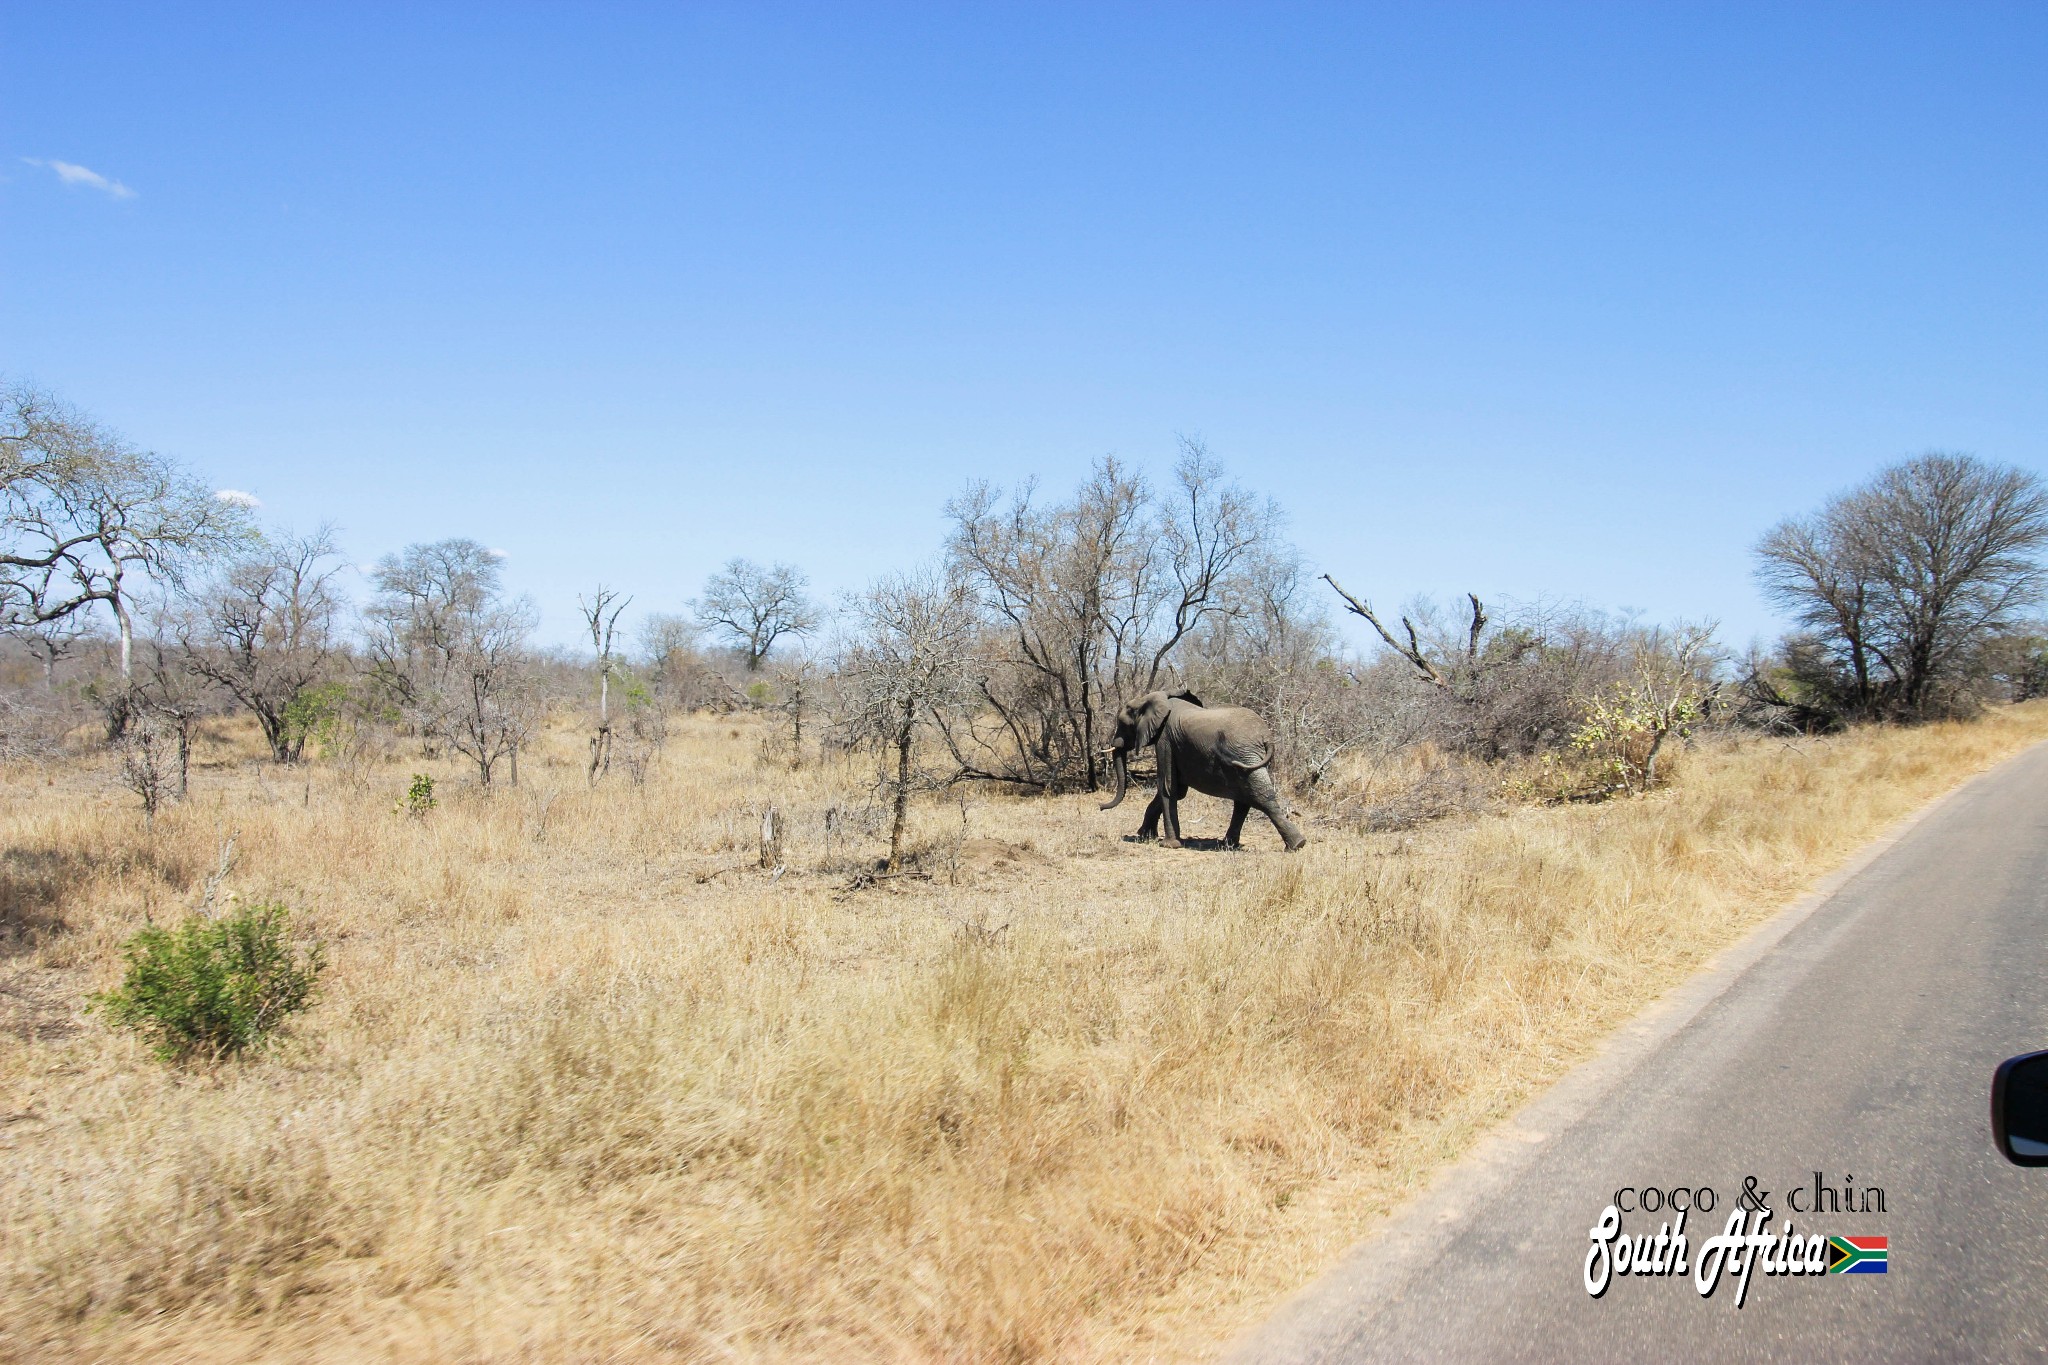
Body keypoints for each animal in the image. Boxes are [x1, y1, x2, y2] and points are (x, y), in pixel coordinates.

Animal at [1105, 695, 1310, 855]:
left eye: (1123, 724)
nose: (1101, 807)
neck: (1154, 699)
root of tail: (1266, 737)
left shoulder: (1165, 740)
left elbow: (1168, 786)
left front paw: (1168, 845)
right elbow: (1178, 790)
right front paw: (1145, 836)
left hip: (1244, 755)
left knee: (1259, 798)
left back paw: (1296, 845)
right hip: (1248, 758)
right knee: (1246, 799)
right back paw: (1229, 845)